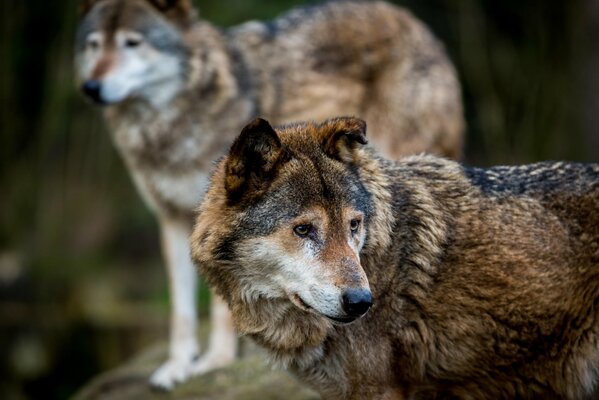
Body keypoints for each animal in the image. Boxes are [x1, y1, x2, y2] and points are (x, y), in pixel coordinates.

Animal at [75, 0, 466, 390]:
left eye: (132, 43)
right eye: (94, 45)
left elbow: (221, 307)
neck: (170, 124)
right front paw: (178, 366)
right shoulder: (172, 217)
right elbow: (181, 307)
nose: (91, 87)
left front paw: (217, 362)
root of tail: (407, 18)